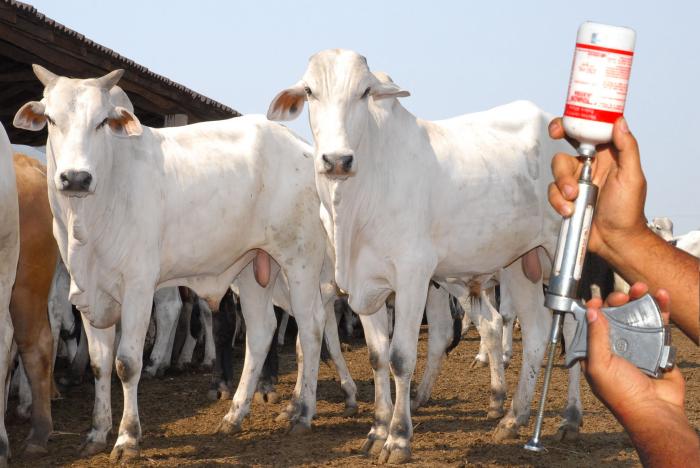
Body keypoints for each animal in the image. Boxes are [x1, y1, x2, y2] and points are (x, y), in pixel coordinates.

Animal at [13, 66, 336, 464]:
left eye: (102, 122)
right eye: (51, 120)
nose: (75, 178)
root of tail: (302, 147)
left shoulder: (138, 287)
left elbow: (126, 363)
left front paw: (127, 439)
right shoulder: (89, 291)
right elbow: (99, 363)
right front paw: (96, 433)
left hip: (299, 259)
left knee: (311, 326)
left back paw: (302, 412)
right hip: (254, 269)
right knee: (262, 333)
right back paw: (235, 415)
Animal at [268, 48, 576, 464]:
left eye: (364, 92)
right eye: (309, 91)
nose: (337, 160)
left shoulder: (413, 275)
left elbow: (401, 358)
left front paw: (398, 438)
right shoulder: (365, 287)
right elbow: (378, 356)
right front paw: (376, 431)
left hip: (566, 253)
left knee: (573, 328)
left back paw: (569, 419)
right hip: (520, 264)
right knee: (538, 333)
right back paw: (513, 418)